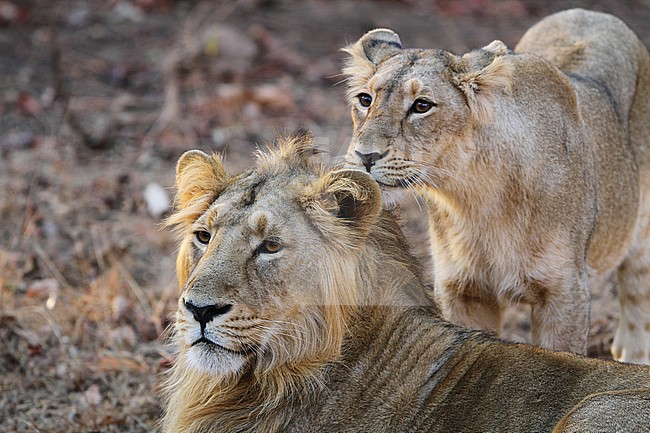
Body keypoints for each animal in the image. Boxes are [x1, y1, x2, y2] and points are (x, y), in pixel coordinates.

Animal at [342, 8, 650, 363]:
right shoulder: (464, 290)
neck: (476, 198)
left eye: (422, 106)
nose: (365, 156)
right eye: (365, 99)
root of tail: (590, 11)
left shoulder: (565, 293)